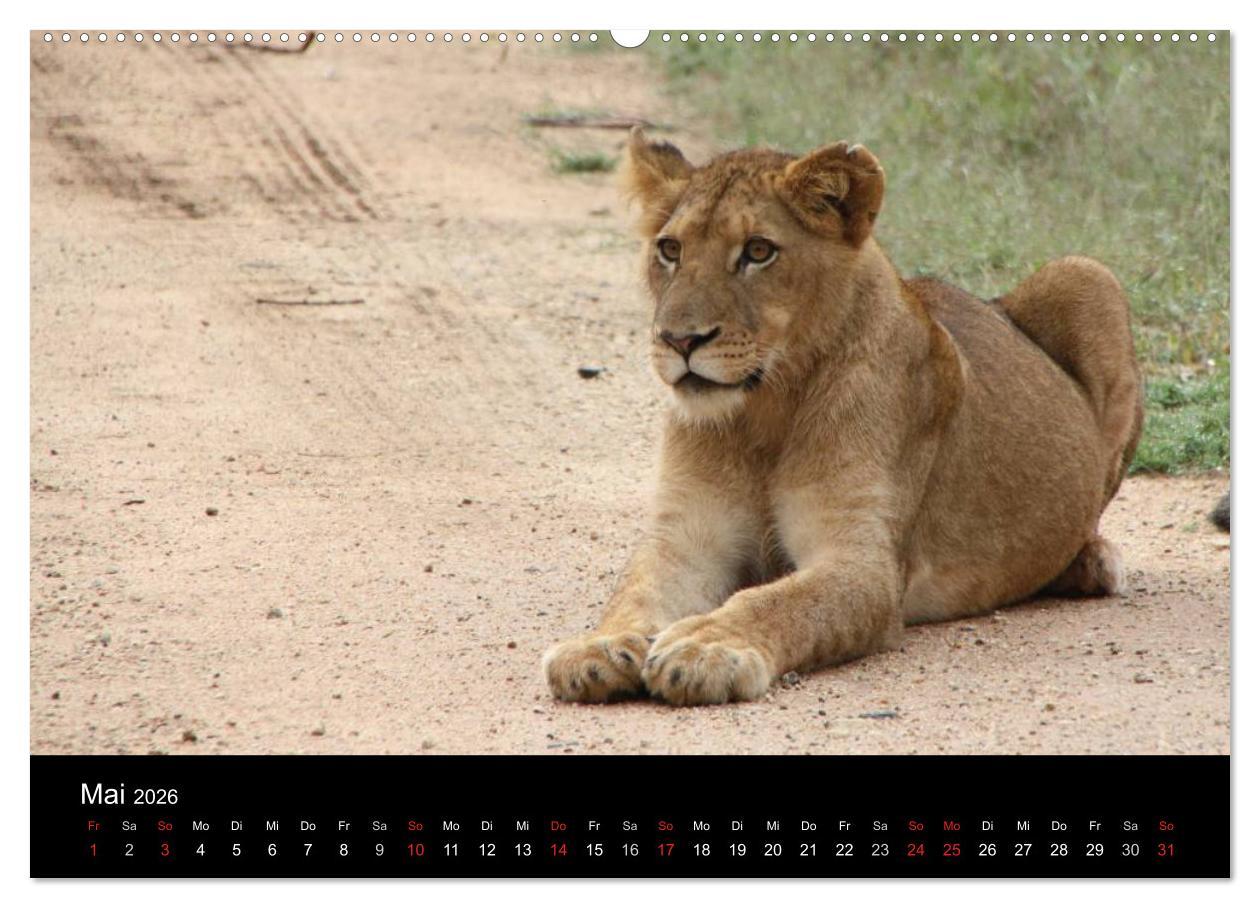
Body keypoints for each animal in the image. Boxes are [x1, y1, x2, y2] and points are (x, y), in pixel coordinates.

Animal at [543, 128, 1143, 706]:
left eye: (758, 251)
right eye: (670, 249)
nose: (679, 340)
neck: (767, 410)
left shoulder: (863, 562)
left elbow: (779, 601)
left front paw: (705, 647)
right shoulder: (686, 537)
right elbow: (637, 591)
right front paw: (597, 648)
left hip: (1089, 277)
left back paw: (1088, 564)